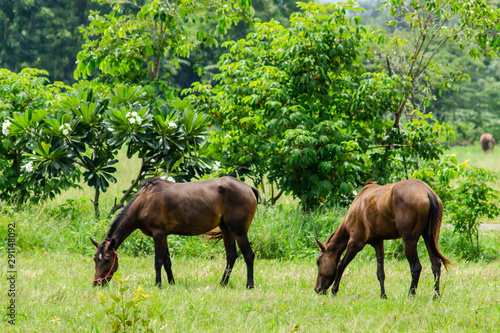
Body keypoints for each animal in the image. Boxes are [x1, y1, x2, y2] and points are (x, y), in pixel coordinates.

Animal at [90, 176, 260, 288]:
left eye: (107, 259)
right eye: (95, 259)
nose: (97, 283)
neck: (144, 201)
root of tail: (249, 188)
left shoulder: (158, 234)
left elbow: (158, 261)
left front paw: (158, 284)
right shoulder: (163, 235)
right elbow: (167, 261)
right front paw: (171, 283)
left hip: (239, 232)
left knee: (248, 256)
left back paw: (249, 285)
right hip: (226, 230)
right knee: (231, 256)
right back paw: (222, 283)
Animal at [316, 179, 454, 298]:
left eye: (318, 261)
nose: (317, 289)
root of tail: (427, 192)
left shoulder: (355, 243)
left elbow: (340, 265)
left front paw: (334, 290)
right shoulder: (378, 242)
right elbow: (380, 273)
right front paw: (383, 295)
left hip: (409, 241)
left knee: (416, 267)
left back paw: (411, 295)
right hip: (428, 238)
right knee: (436, 265)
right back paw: (436, 295)